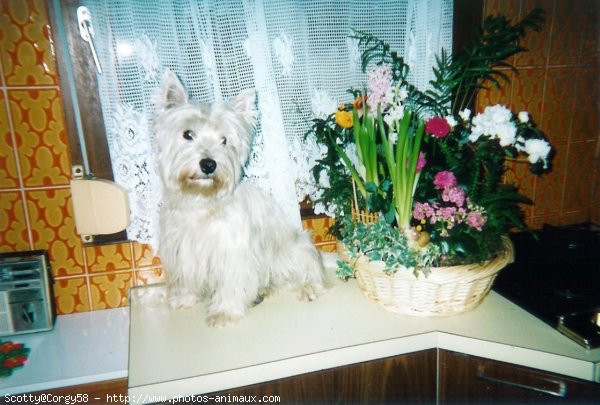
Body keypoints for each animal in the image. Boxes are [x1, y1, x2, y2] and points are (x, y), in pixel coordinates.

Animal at [152, 72, 326, 326]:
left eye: (224, 140)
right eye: (188, 134)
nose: (209, 164)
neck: (201, 201)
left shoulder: (231, 253)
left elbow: (230, 284)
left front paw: (224, 312)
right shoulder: (181, 248)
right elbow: (186, 275)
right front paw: (184, 298)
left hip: (293, 249)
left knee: (308, 271)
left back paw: (308, 288)